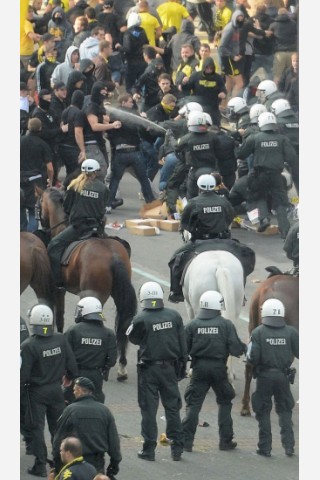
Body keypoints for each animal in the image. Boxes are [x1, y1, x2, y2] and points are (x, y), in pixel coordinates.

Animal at [37, 187, 138, 378]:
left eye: (38, 205)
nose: (43, 227)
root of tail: (113, 256)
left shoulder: (58, 289)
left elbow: (59, 317)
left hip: (93, 294)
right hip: (118, 295)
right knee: (123, 325)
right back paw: (121, 366)